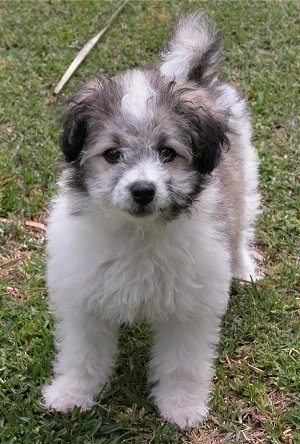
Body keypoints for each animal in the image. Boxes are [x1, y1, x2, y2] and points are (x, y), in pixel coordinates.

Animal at [42, 13, 260, 430]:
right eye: (112, 154)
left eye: (167, 153)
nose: (143, 190)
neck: (139, 233)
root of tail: (195, 77)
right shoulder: (84, 298)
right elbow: (82, 353)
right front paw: (72, 394)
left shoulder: (189, 308)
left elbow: (182, 363)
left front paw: (181, 405)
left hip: (244, 173)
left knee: (240, 226)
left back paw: (242, 268)